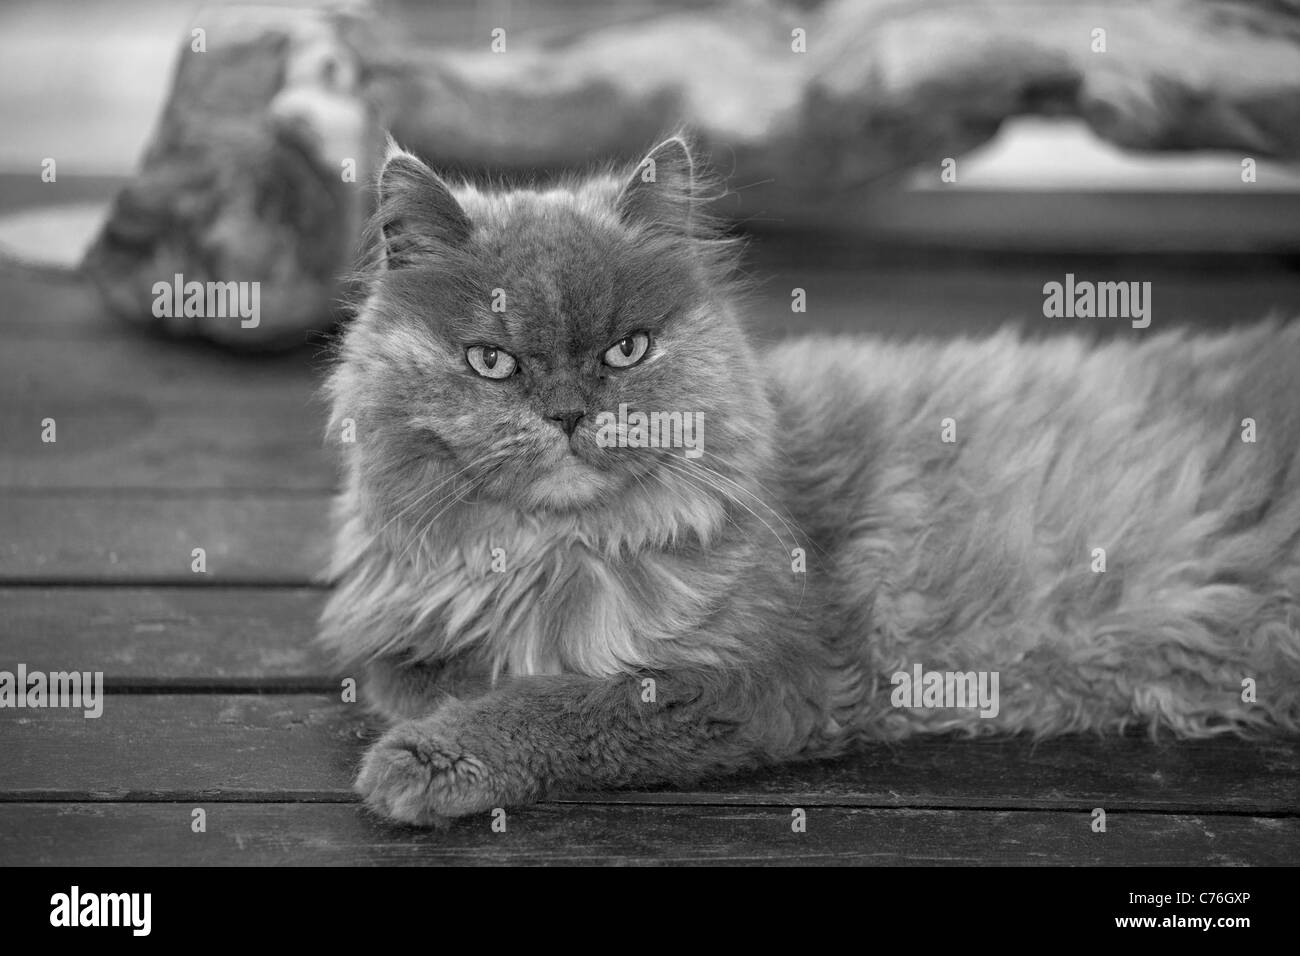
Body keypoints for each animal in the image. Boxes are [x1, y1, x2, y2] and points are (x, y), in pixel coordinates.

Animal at [319, 136, 1300, 832]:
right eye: (491, 362)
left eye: (627, 350)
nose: (566, 417)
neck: (553, 553)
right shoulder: (407, 634)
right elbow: (422, 672)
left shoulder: (757, 676)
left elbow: (562, 703)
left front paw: (424, 761)